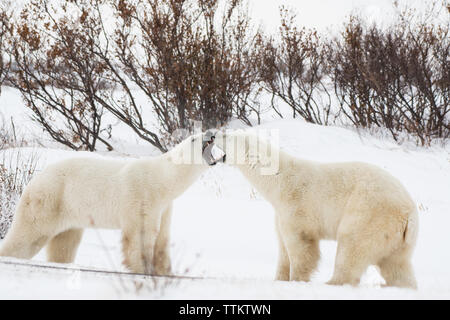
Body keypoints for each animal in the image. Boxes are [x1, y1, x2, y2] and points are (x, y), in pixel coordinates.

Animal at [0, 133, 219, 276]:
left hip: (68, 209)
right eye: (194, 138)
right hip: (49, 199)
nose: (212, 133)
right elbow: (139, 235)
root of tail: (34, 179)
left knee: (65, 243)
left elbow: (162, 239)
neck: (161, 180)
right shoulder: (141, 197)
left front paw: (165, 272)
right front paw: (141, 269)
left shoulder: (164, 207)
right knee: (28, 236)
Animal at [214, 131, 418, 288]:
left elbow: (300, 244)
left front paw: (297, 279)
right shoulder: (280, 213)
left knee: (351, 245)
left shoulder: (295, 204)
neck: (277, 178)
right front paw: (279, 278)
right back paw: (401, 285)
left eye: (227, 136)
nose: (213, 134)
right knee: (397, 264)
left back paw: (333, 282)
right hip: (397, 237)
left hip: (369, 212)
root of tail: (409, 213)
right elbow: (282, 247)